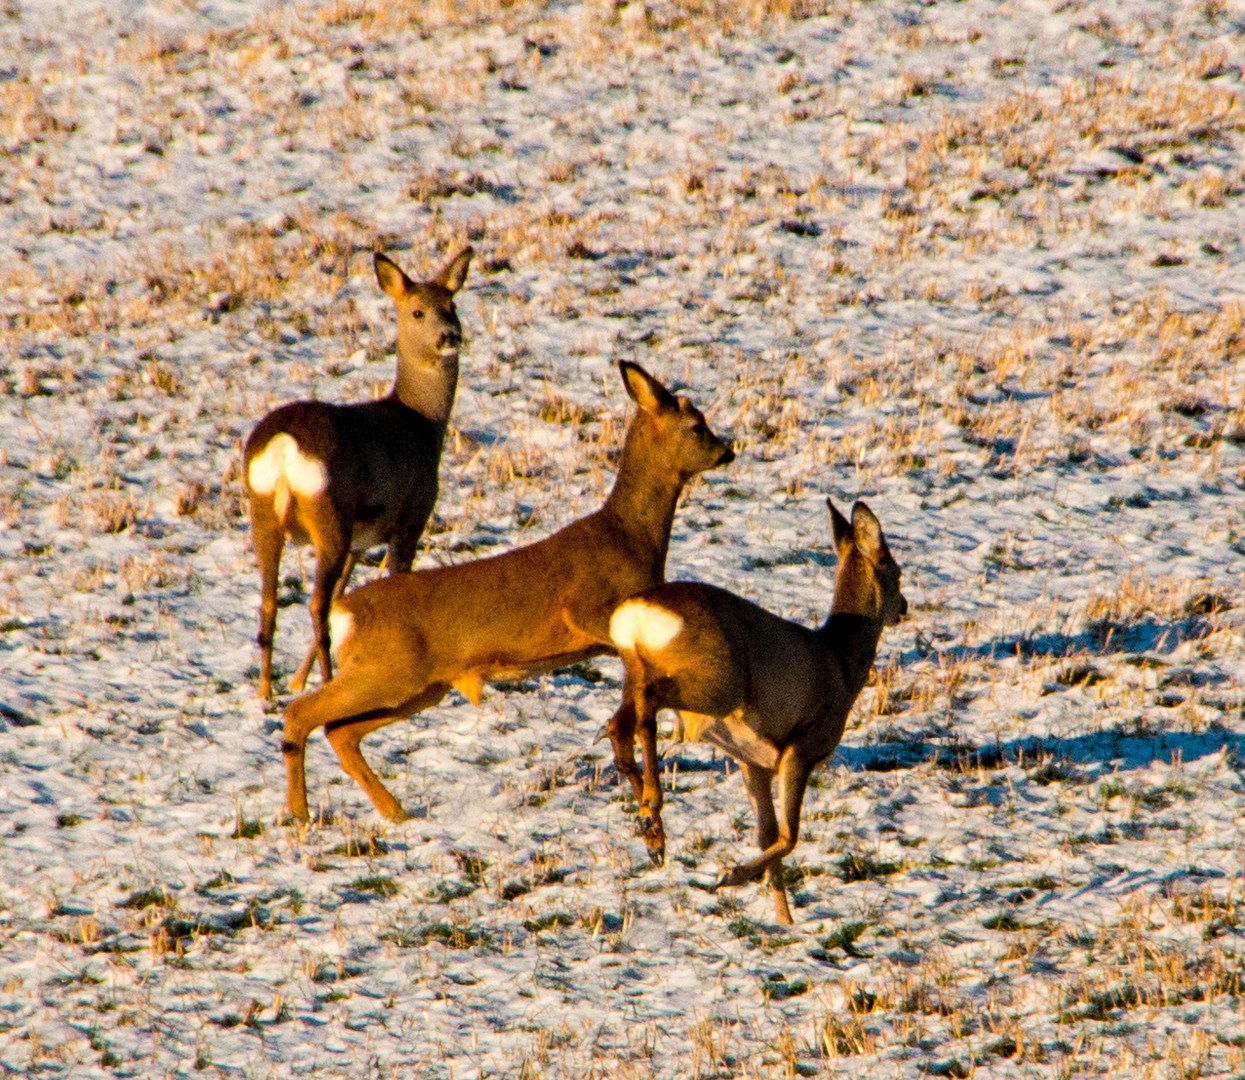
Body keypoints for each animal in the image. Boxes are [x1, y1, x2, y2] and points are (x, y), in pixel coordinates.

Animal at [245, 246, 473, 702]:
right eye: (417, 311)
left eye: (452, 306)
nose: (450, 337)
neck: (422, 425)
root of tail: (283, 446)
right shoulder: (412, 516)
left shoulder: (360, 541)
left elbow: (342, 597)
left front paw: (297, 679)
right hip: (328, 513)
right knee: (314, 603)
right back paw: (325, 683)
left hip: (265, 513)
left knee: (270, 600)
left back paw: (267, 691)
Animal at [277, 358, 732, 822]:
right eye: (697, 425)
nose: (727, 450)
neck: (629, 538)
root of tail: (344, 612)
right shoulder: (586, 607)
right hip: (385, 671)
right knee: (301, 712)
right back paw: (300, 814)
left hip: (419, 687)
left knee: (341, 732)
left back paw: (394, 812)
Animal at [602, 503, 906, 926]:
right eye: (898, 572)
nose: (904, 608)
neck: (841, 664)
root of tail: (635, 614)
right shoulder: (802, 746)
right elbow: (789, 835)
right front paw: (732, 875)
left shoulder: (753, 761)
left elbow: (768, 832)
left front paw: (784, 920)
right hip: (717, 683)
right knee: (648, 706)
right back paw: (652, 811)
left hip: (639, 669)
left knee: (618, 723)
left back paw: (653, 834)